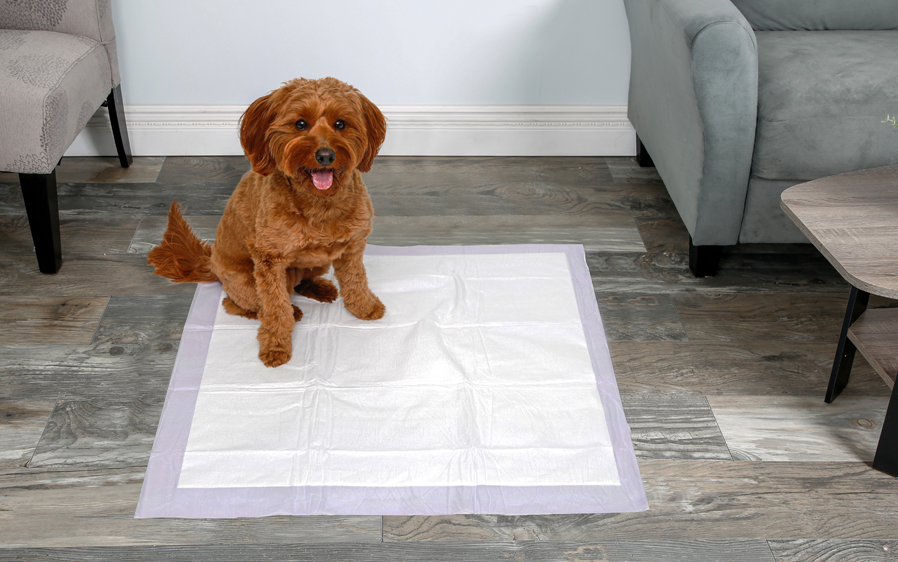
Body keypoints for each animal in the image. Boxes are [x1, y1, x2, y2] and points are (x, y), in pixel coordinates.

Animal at [146, 79, 384, 368]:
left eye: (340, 124)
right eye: (300, 124)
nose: (326, 156)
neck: (320, 203)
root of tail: (211, 263)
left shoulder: (352, 248)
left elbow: (356, 279)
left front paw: (365, 307)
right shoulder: (269, 260)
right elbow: (275, 307)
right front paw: (275, 346)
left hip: (319, 262)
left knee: (300, 282)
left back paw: (319, 288)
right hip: (245, 283)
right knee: (243, 305)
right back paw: (291, 310)